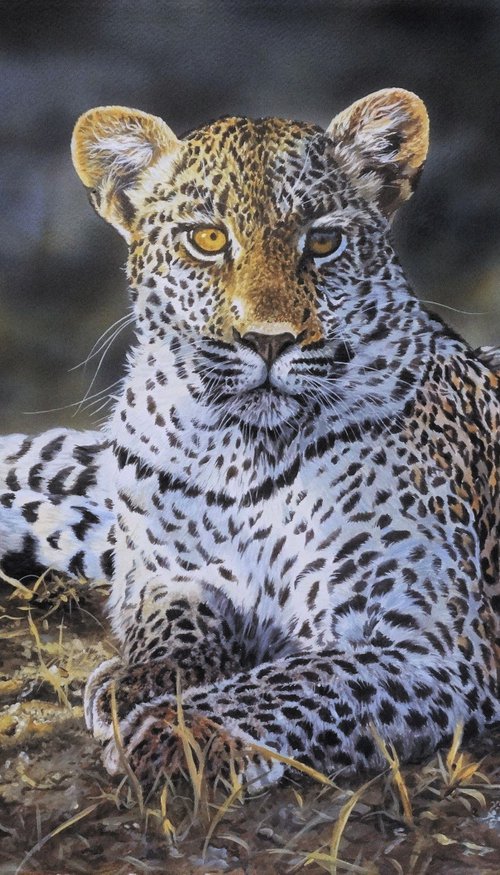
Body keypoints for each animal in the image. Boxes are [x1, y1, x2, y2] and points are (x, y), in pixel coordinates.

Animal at [1, 88, 499, 793]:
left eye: (324, 241)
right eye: (209, 239)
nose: (268, 340)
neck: (240, 455)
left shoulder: (433, 645)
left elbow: (304, 681)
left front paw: (178, 734)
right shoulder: (164, 571)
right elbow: (177, 620)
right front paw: (144, 680)